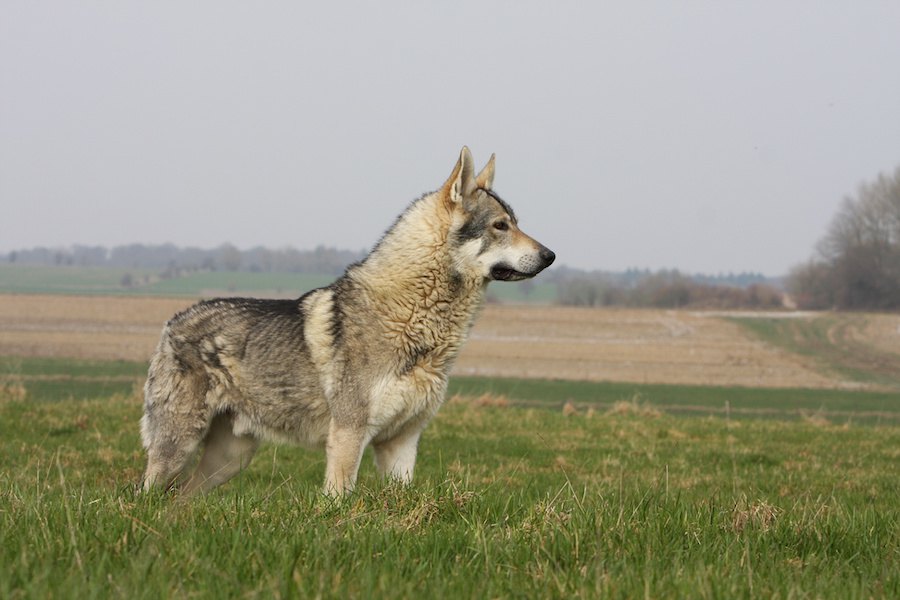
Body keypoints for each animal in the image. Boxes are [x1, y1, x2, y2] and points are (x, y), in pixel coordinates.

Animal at [139, 149, 556, 496]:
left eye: (516, 223)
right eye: (501, 226)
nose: (550, 255)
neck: (415, 321)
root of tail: (173, 320)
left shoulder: (402, 442)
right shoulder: (348, 434)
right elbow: (338, 499)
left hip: (228, 460)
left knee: (181, 499)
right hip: (178, 448)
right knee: (147, 494)